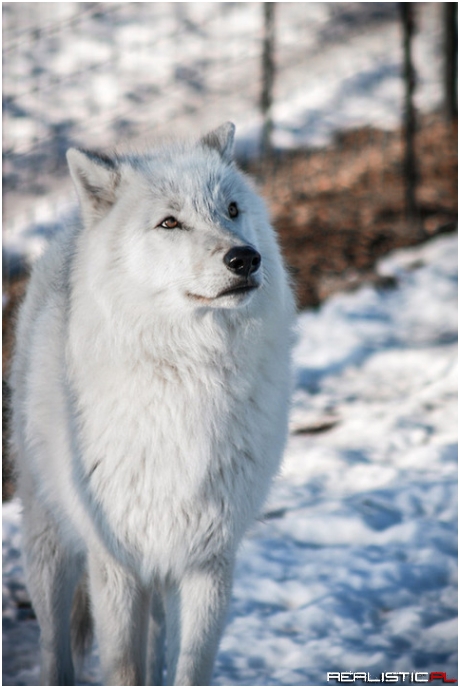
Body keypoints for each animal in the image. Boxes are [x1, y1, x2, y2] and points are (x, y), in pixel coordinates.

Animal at [10, 122, 295, 686]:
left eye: (231, 209)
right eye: (170, 222)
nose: (244, 258)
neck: (190, 378)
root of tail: (71, 231)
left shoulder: (209, 559)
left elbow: (190, 666)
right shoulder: (117, 562)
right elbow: (123, 665)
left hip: (161, 576)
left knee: (159, 644)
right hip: (51, 543)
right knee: (56, 648)